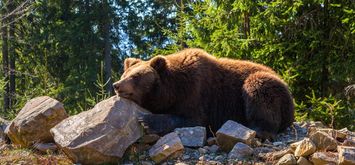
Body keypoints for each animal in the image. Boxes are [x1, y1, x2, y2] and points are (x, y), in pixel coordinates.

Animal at [113, 48, 294, 140]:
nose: (117, 85)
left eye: (136, 76)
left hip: (265, 86)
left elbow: (195, 120)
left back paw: (257, 130)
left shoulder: (196, 91)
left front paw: (147, 120)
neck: (172, 89)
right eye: (124, 74)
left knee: (260, 92)